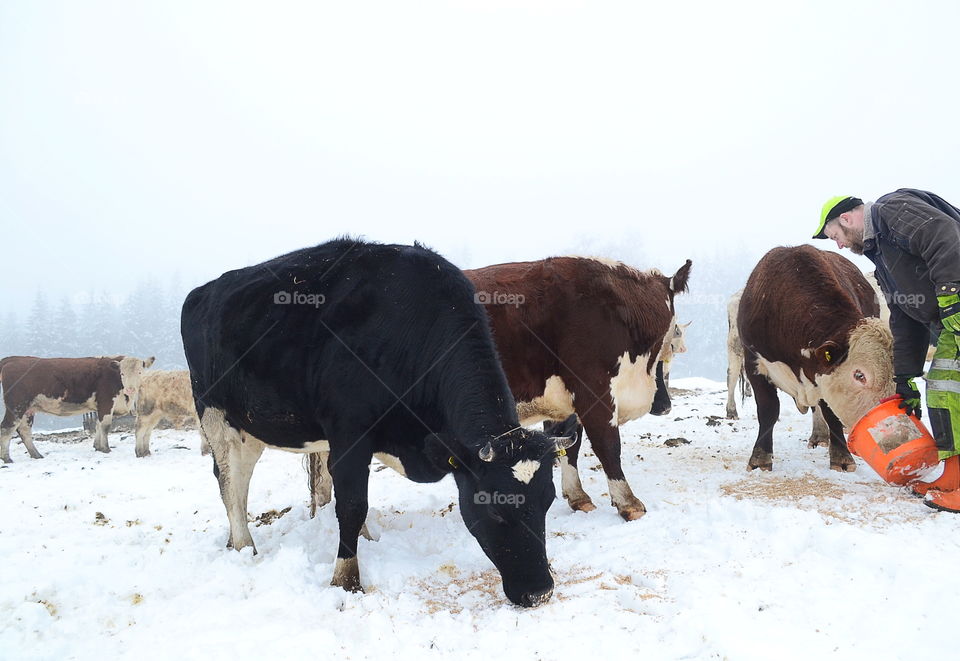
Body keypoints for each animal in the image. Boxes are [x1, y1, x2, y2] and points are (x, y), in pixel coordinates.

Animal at [0, 354, 156, 462]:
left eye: (140, 372)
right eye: (122, 373)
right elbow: (105, 426)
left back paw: (36, 455)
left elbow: (98, 425)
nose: (130, 389)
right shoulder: (106, 403)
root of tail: (13, 359)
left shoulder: (100, 407)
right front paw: (105, 448)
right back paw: (7, 458)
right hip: (16, 406)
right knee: (7, 428)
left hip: (28, 409)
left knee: (24, 430)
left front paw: (97, 447)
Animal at [180, 240, 568, 604]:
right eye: (495, 509)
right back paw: (244, 546)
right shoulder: (350, 430)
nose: (540, 592)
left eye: (548, 501)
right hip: (215, 416)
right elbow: (352, 505)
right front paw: (346, 579)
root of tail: (201, 292)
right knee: (230, 482)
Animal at [464, 255, 688, 520]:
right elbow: (608, 445)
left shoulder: (565, 400)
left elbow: (569, 444)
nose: (665, 407)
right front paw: (628, 502)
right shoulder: (593, 388)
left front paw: (577, 496)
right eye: (671, 344)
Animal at [740, 245, 896, 472]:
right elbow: (768, 410)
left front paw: (841, 458)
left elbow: (831, 413)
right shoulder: (754, 363)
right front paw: (760, 458)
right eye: (860, 375)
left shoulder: (823, 374)